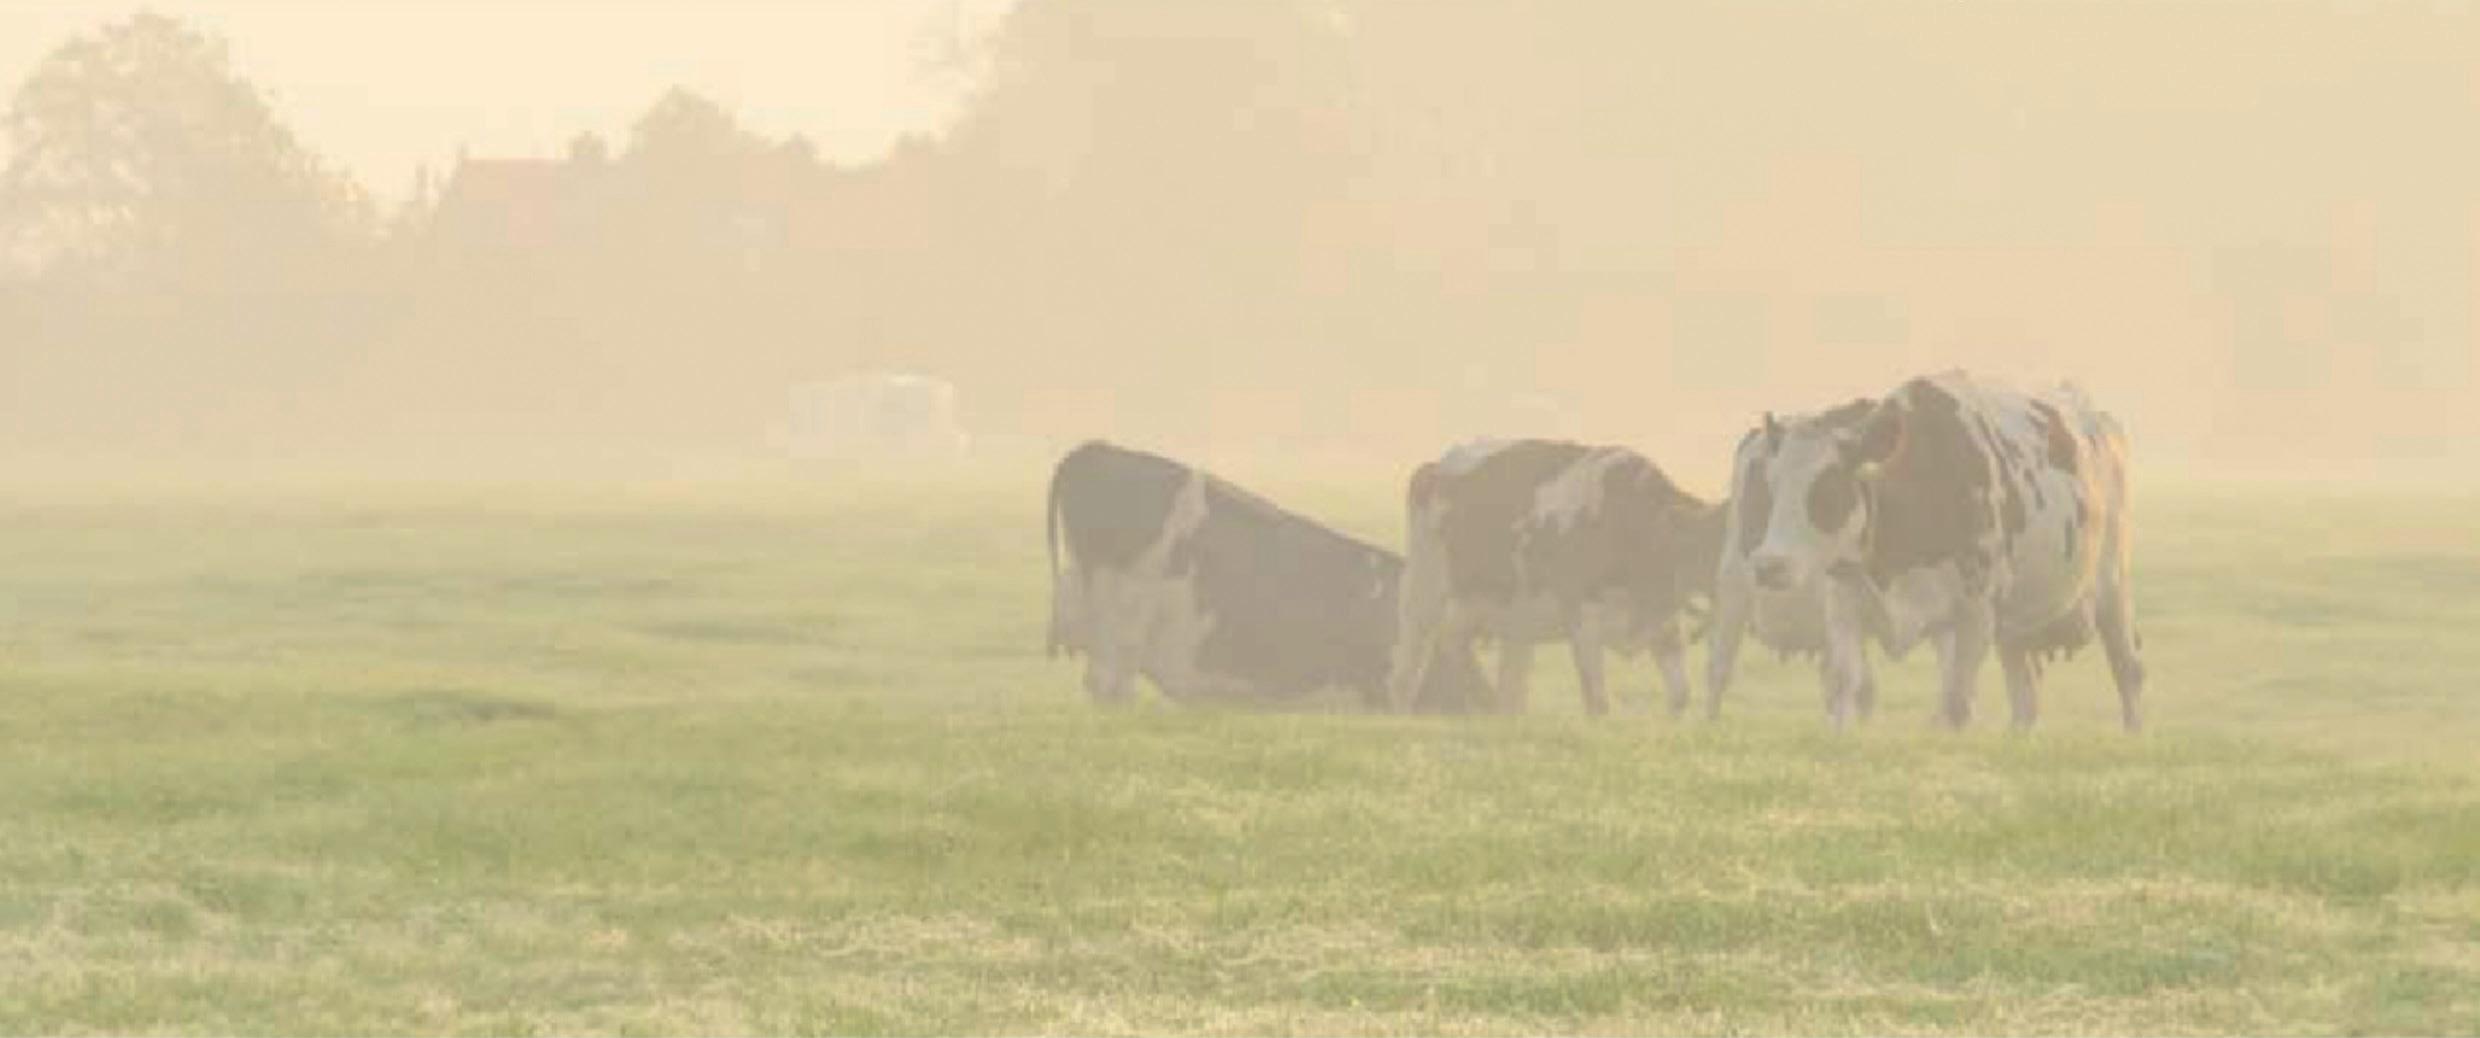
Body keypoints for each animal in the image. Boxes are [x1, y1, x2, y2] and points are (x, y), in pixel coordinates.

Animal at [1386, 439, 1727, 716]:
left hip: (1499, 613)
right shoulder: (1583, 619)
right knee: (1407, 669)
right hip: (1422, 594)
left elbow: (1680, 695)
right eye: (1706, 545)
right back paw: (1404, 713)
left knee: (1484, 666)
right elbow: (1598, 702)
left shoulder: (1664, 623)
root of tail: (1436, 466)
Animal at [1706, 371, 2145, 732]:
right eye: (1773, 485)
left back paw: (2132, 732)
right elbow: (1845, 683)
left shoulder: (1974, 614)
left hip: (2113, 588)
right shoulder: (1844, 602)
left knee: (2128, 669)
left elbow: (1957, 702)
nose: (1768, 564)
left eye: (1828, 488)